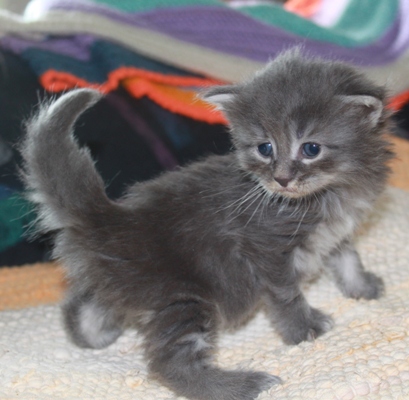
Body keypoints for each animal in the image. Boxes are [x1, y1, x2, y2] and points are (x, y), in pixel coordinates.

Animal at [19, 50, 392, 400]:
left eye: (311, 148)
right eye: (265, 148)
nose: (282, 179)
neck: (330, 192)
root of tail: (109, 216)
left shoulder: (337, 231)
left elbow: (348, 257)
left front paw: (362, 287)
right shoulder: (266, 248)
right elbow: (287, 294)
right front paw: (304, 330)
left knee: (84, 305)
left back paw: (93, 331)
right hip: (184, 296)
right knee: (172, 365)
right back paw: (246, 385)